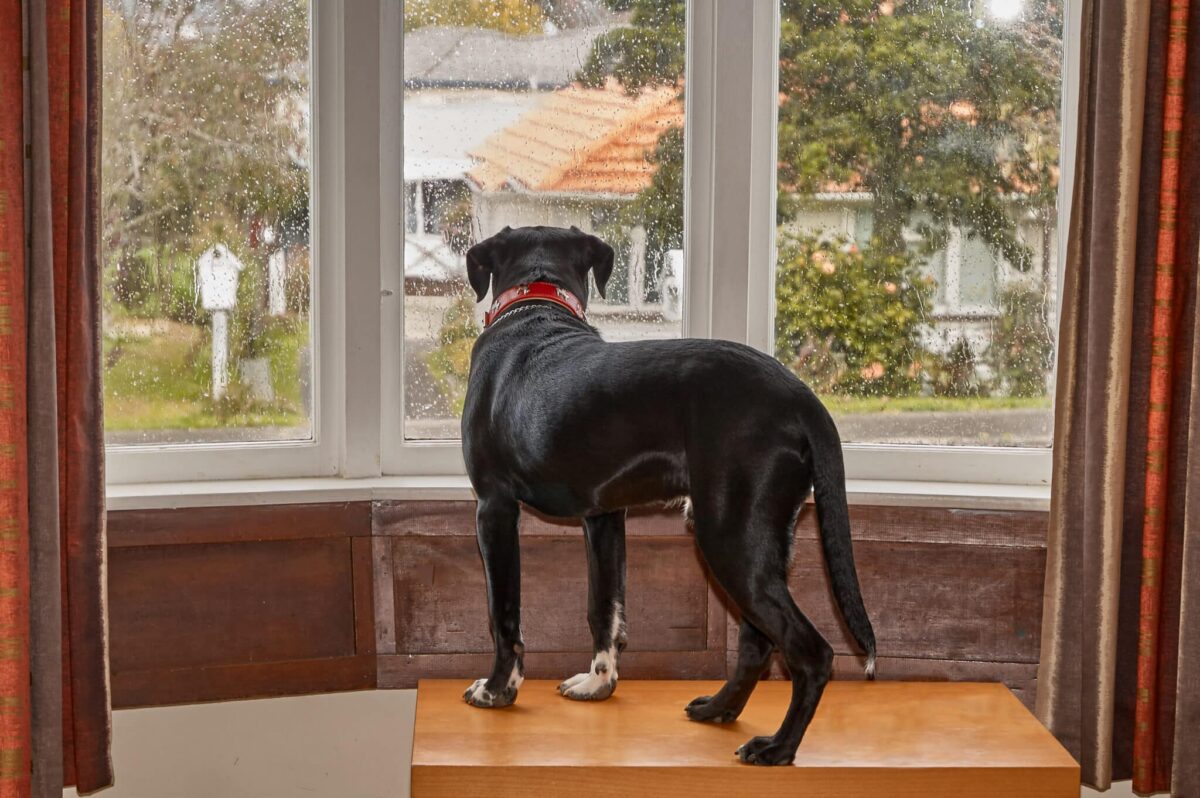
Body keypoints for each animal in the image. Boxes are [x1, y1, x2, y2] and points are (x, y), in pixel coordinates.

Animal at [456, 225, 873, 768]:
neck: (536, 303)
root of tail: (803, 398)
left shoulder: (494, 508)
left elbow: (503, 612)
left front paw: (497, 689)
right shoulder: (604, 517)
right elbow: (605, 606)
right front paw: (598, 684)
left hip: (729, 539)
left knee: (811, 651)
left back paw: (779, 747)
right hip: (759, 539)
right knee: (758, 644)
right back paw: (720, 708)